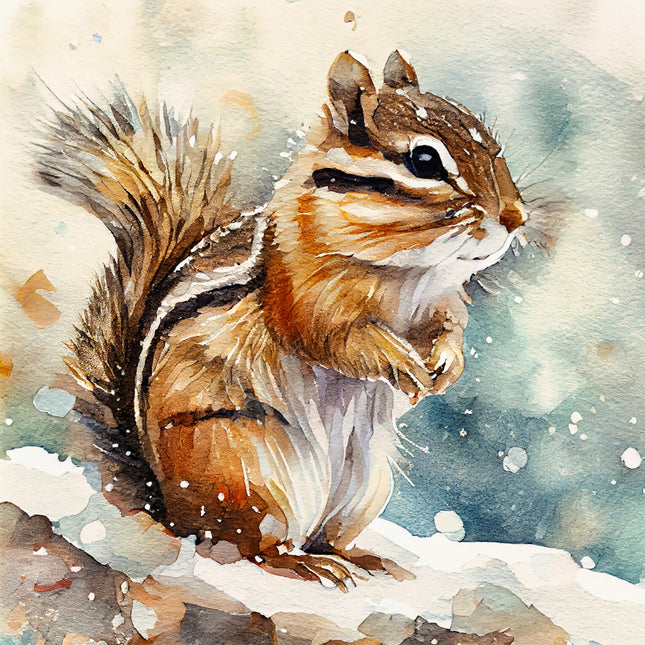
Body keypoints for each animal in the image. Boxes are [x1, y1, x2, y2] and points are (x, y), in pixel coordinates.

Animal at [36, 50, 526, 588]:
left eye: (493, 144)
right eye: (424, 160)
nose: (516, 217)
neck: (409, 271)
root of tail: (165, 504)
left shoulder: (443, 302)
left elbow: (448, 330)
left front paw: (444, 366)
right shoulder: (304, 294)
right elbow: (334, 337)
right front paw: (403, 364)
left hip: (366, 483)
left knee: (325, 537)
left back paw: (365, 559)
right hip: (251, 472)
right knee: (251, 547)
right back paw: (304, 565)